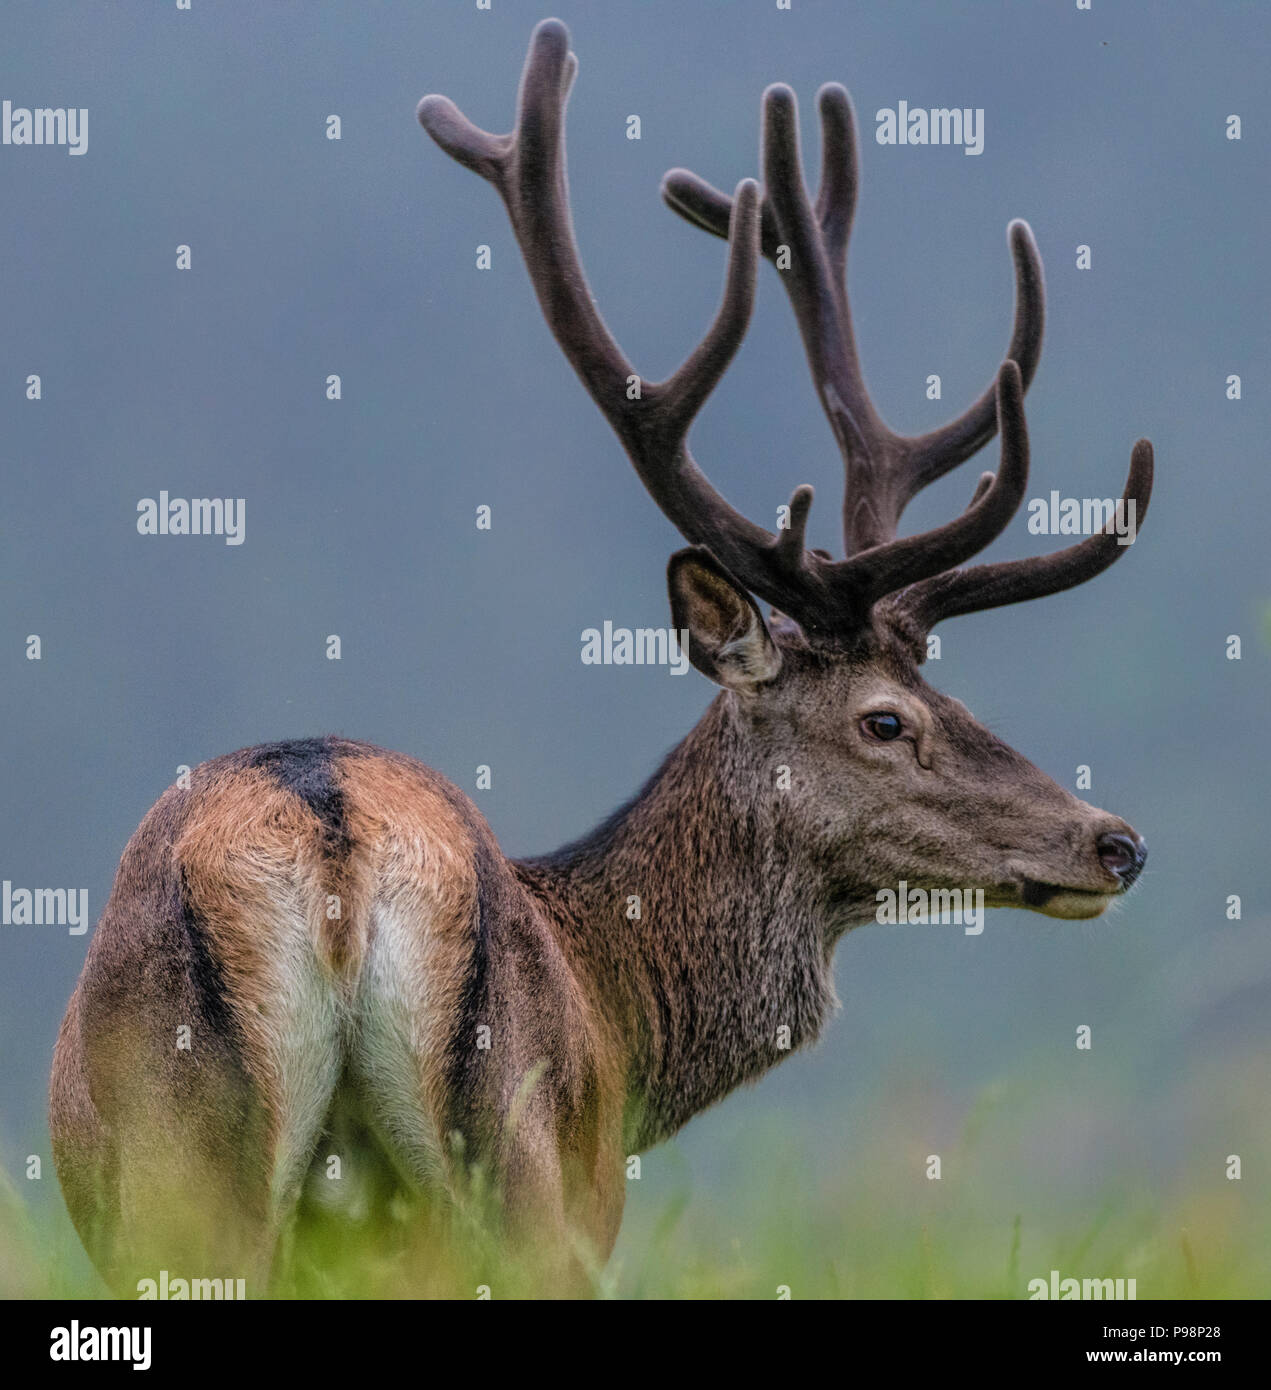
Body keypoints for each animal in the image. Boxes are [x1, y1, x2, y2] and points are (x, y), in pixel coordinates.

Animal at [50, 18, 1152, 1297]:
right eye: (886, 718)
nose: (1113, 841)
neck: (624, 1025)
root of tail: (332, 836)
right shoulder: (587, 1206)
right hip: (512, 1178)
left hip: (188, 1193)